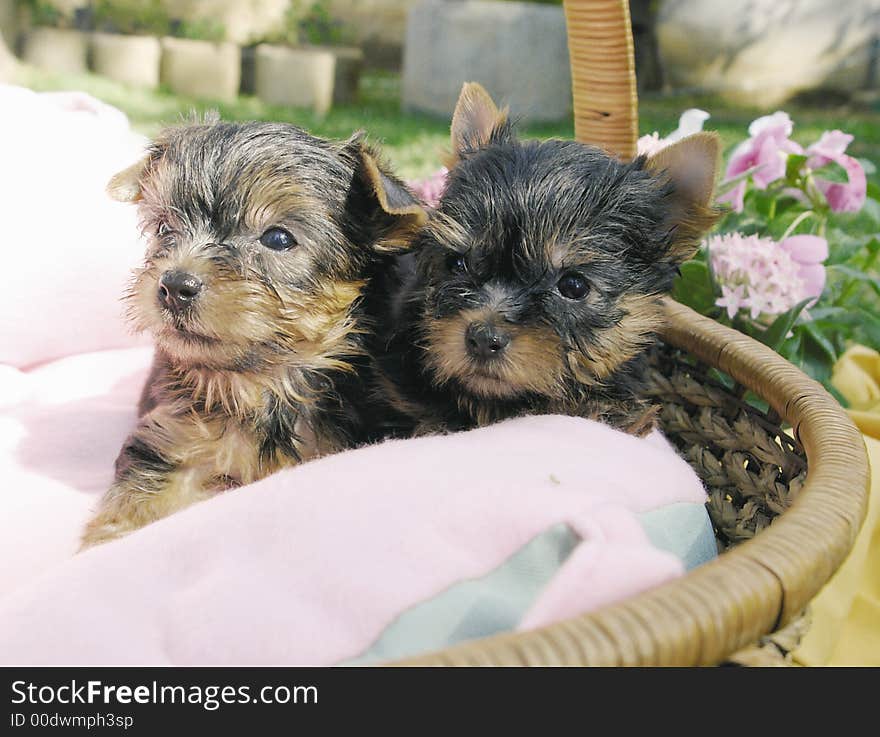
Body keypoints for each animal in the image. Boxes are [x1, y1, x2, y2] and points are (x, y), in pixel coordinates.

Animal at [81, 118, 424, 548]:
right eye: (164, 228)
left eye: (278, 238)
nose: (174, 285)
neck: (260, 384)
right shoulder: (172, 438)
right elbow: (138, 498)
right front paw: (105, 543)